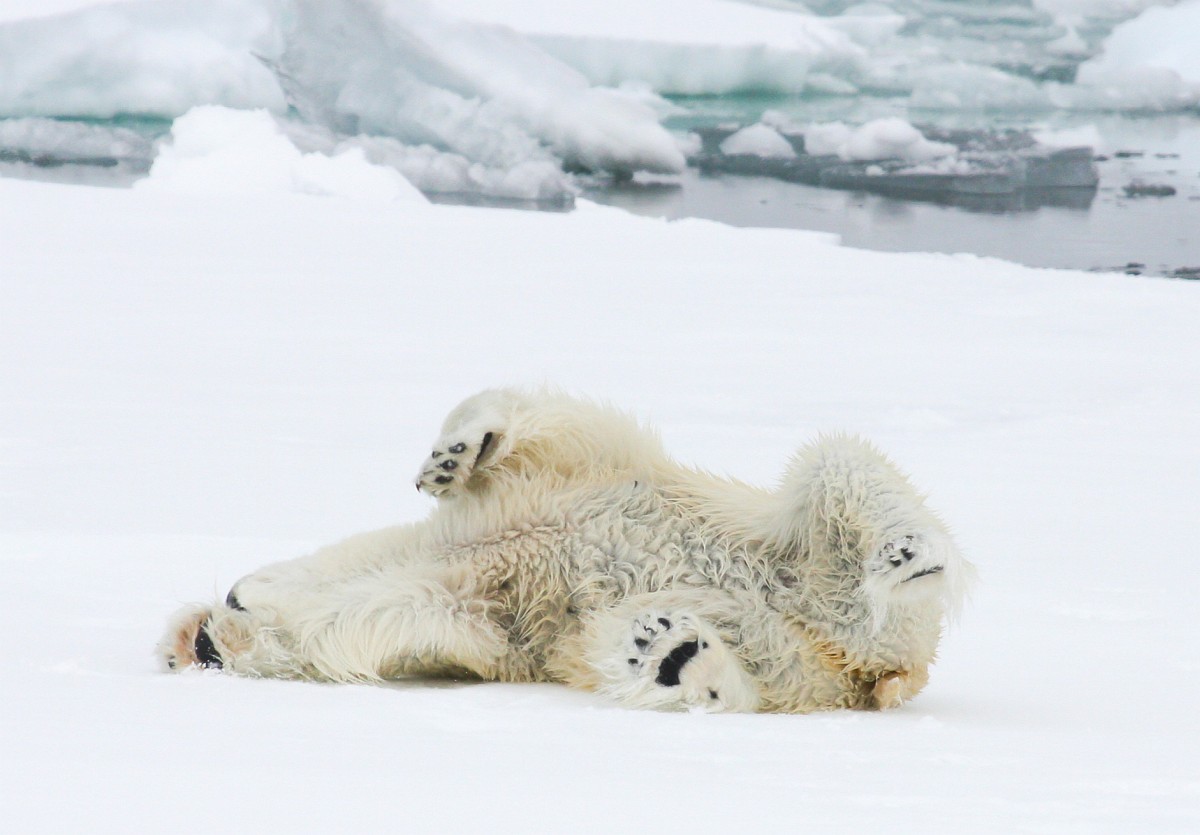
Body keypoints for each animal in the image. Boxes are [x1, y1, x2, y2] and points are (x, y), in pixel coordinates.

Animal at [159, 387, 972, 713]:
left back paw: (906, 554)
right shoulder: (483, 611)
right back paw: (678, 656)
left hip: (801, 545)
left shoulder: (573, 480)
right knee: (725, 667)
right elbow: (375, 624)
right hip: (795, 661)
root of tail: (882, 668)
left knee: (838, 466)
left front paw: (452, 454)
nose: (202, 640)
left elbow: (544, 418)